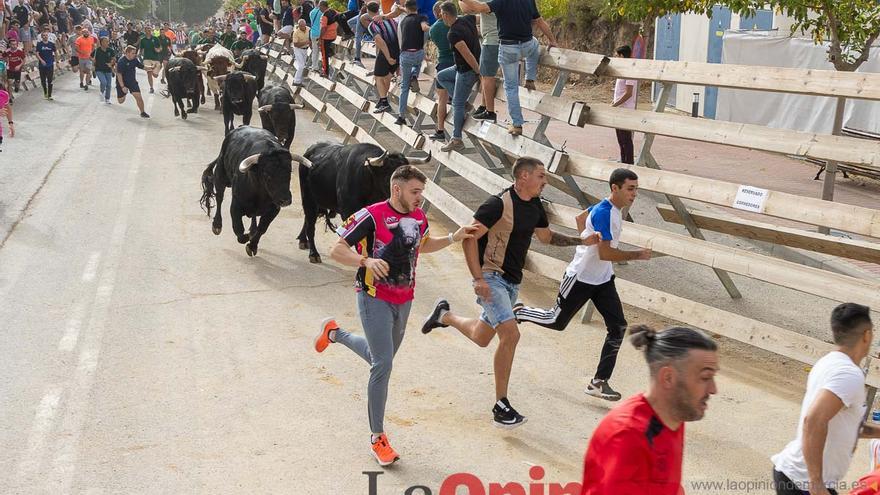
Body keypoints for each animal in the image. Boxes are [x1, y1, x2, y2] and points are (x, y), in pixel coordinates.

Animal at [199, 126, 310, 258]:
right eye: (266, 174)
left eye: (289, 171)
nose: (285, 200)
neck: (260, 194)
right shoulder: (236, 204)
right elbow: (238, 229)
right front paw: (247, 238)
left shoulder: (274, 209)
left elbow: (262, 229)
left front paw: (252, 246)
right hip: (221, 176)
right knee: (219, 198)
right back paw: (217, 225)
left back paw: (252, 230)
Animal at [298, 141, 432, 264]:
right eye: (388, 177)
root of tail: (312, 148)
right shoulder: (349, 213)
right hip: (308, 197)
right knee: (310, 224)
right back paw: (314, 254)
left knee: (308, 219)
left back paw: (303, 240)